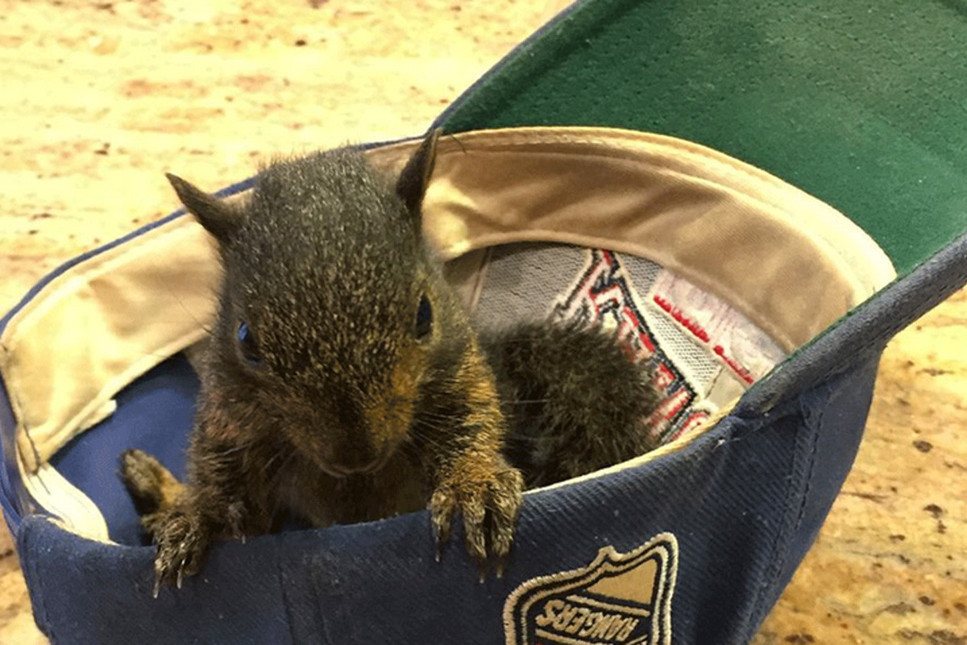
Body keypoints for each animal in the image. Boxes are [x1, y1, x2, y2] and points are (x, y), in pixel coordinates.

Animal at [121, 132, 660, 592]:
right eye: (245, 339)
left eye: (424, 314)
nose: (354, 454)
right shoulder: (229, 416)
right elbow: (229, 490)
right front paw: (200, 515)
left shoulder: (460, 375)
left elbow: (473, 423)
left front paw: (474, 485)